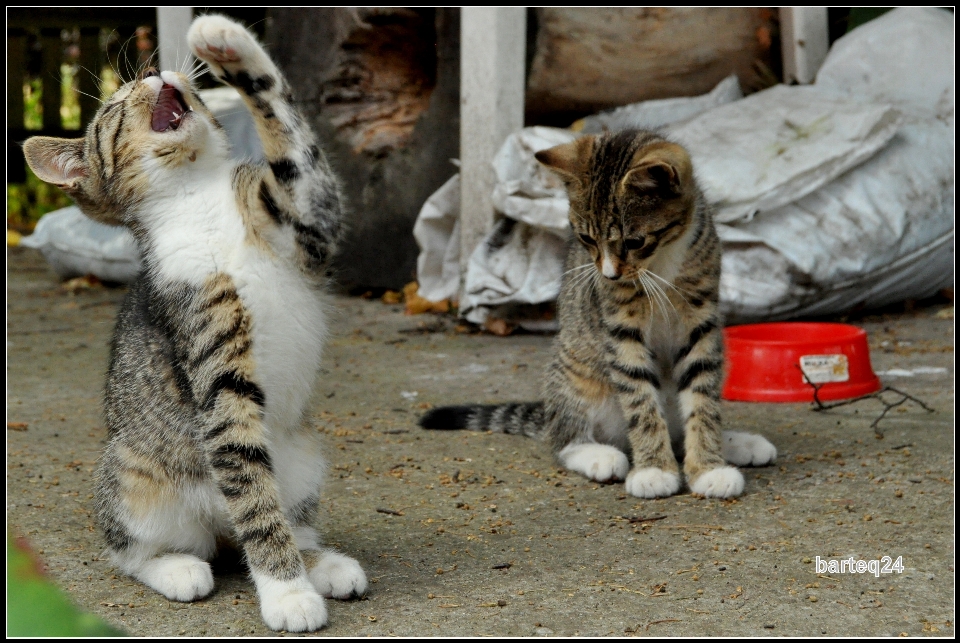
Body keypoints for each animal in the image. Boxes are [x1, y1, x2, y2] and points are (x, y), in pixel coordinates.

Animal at [23, 15, 368, 632]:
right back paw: (177, 568)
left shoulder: (306, 220)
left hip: (303, 458)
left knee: (285, 516)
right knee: (135, 548)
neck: (199, 197)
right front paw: (287, 593)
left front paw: (228, 44)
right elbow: (251, 489)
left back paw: (322, 562)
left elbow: (296, 146)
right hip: (131, 473)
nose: (157, 72)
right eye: (115, 106)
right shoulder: (210, 353)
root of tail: (219, 529)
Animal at [422, 131, 780, 500]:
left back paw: (736, 443)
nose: (609, 275)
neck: (661, 262)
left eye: (635, 242)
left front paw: (708, 467)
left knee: (681, 427)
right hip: (574, 371)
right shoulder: (619, 325)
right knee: (563, 440)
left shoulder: (701, 322)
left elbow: (702, 397)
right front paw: (654, 469)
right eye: (585, 239)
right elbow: (640, 399)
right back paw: (600, 454)